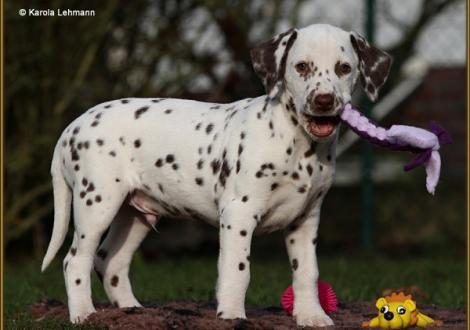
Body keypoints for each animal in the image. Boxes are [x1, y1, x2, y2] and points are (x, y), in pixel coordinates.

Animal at [42, 23, 392, 328]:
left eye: (344, 68)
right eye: (301, 66)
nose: (323, 101)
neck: (296, 142)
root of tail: (72, 127)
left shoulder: (305, 220)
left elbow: (307, 272)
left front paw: (312, 316)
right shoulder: (239, 213)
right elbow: (238, 270)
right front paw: (232, 316)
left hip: (136, 214)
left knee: (109, 261)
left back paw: (132, 312)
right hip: (97, 203)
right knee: (75, 260)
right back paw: (84, 314)